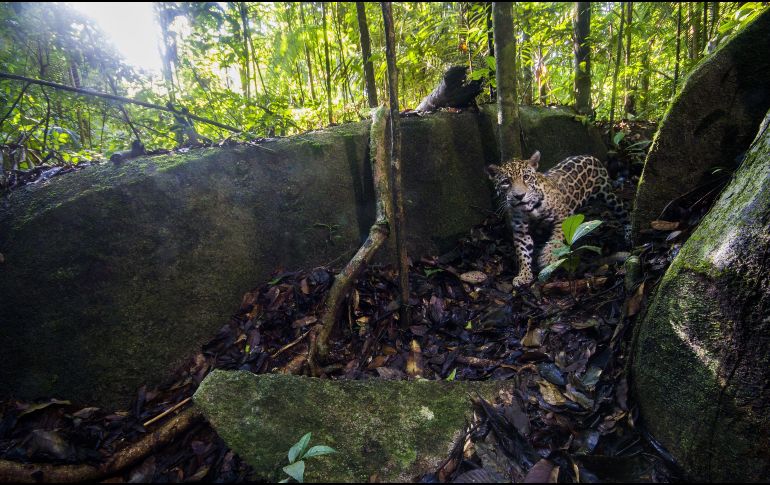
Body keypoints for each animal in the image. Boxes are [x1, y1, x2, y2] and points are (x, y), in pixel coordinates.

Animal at [486, 150, 630, 288]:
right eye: (505, 182)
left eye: (526, 177)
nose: (519, 196)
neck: (530, 208)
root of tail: (588, 156)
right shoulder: (520, 230)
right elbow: (522, 252)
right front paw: (523, 275)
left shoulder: (562, 218)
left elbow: (556, 239)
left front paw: (548, 257)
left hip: (608, 195)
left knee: (623, 211)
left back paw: (628, 232)